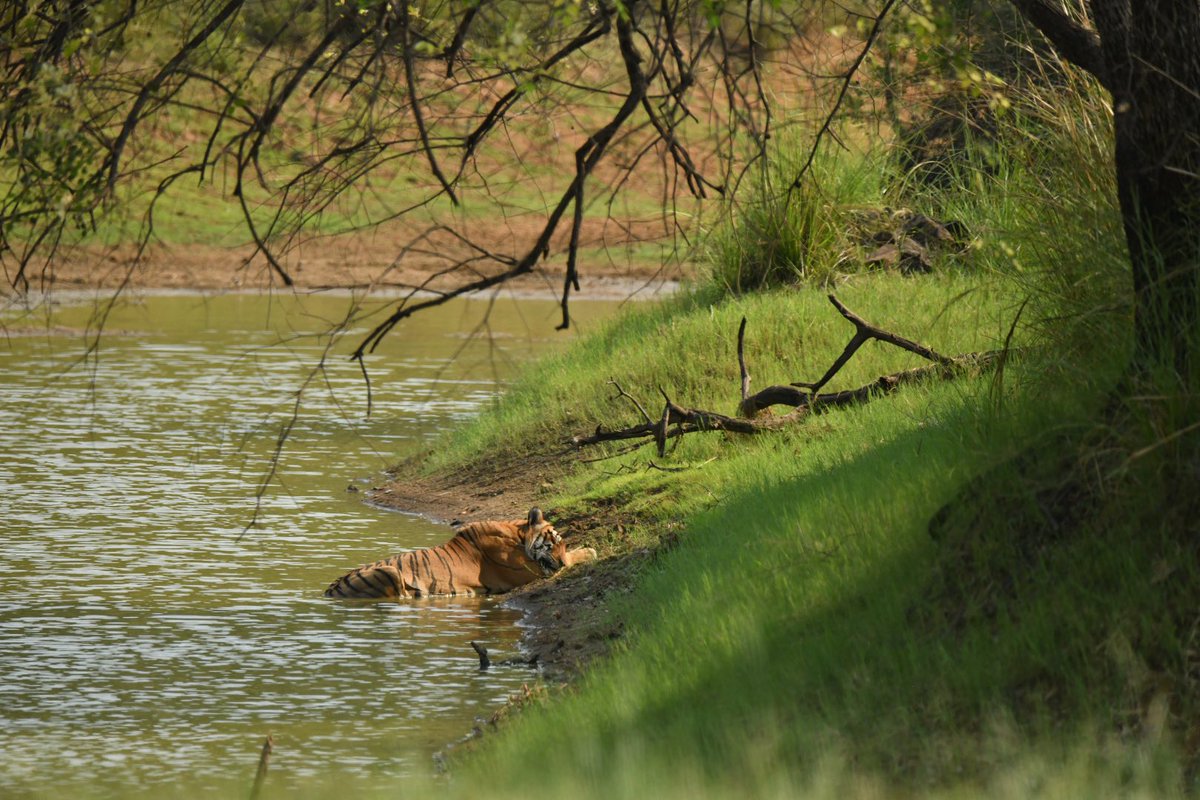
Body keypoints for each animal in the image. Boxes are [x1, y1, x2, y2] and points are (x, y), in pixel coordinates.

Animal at [324, 506, 595, 599]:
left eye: (562, 544)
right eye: (552, 544)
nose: (560, 563)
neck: (517, 536)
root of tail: (330, 590)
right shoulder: (527, 571)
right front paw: (590, 551)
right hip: (390, 571)